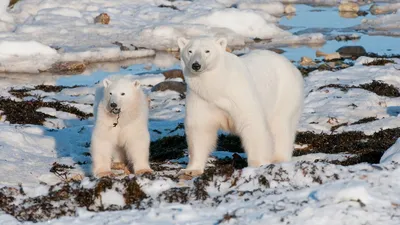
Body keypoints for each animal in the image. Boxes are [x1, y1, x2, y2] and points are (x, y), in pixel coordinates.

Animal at [178, 37, 304, 177]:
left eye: (207, 51)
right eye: (190, 51)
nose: (196, 65)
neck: (217, 86)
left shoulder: (239, 93)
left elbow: (252, 123)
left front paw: (257, 164)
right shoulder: (200, 98)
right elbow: (199, 129)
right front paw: (191, 170)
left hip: (285, 93)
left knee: (281, 126)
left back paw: (279, 158)